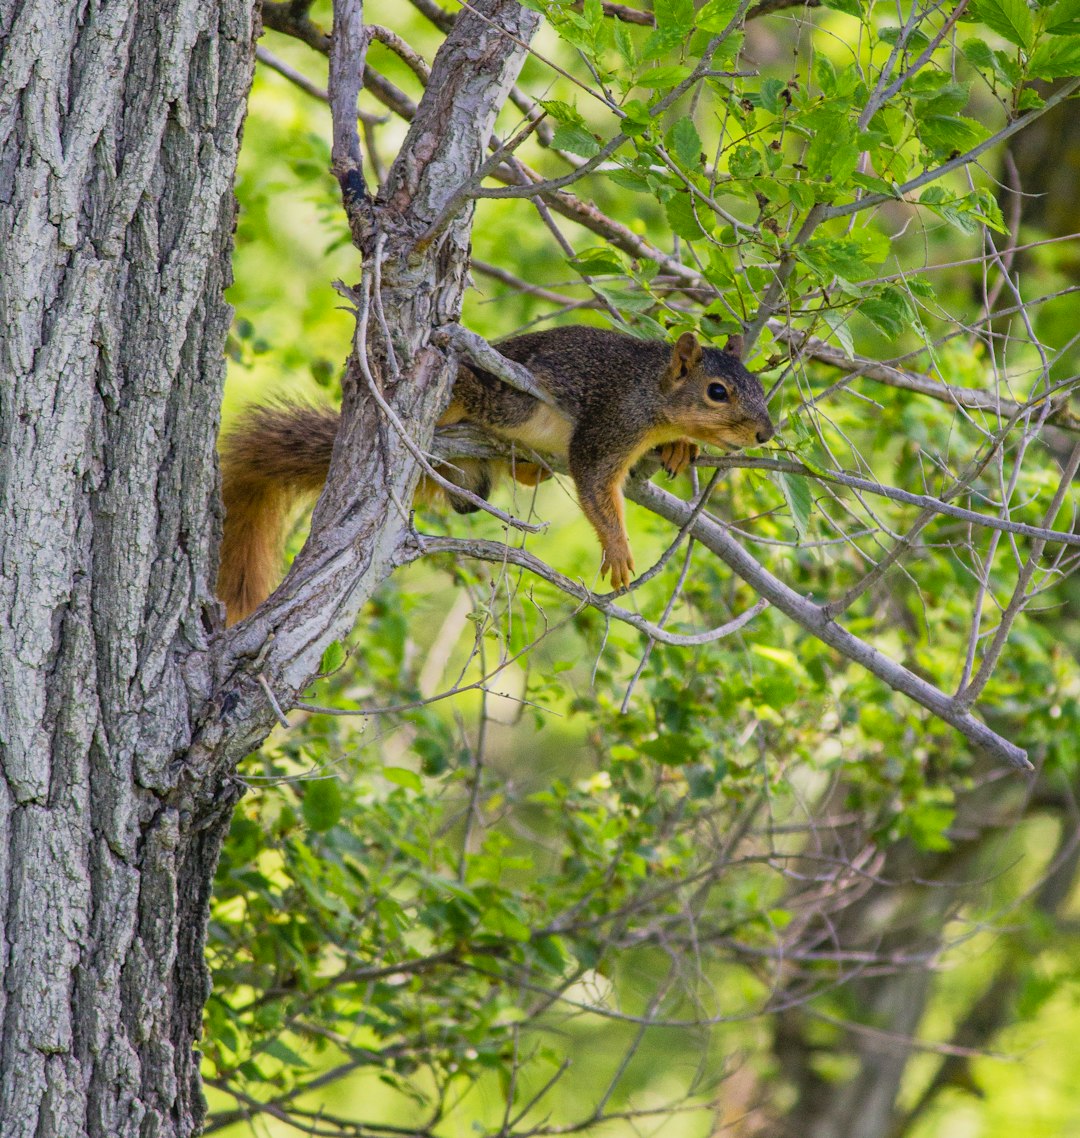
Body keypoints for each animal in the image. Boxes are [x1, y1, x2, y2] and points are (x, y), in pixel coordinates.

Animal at [217, 325, 773, 628]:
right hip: (502, 401)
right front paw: (617, 551)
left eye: (760, 386)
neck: (651, 388)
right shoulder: (611, 424)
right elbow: (595, 483)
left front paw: (682, 447)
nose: (767, 432)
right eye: (717, 392)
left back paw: (529, 468)